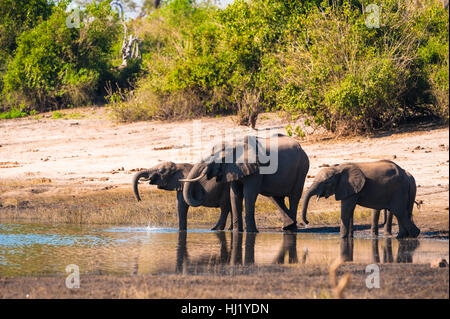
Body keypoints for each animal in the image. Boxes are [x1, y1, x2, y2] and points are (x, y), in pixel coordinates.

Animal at [179, 134, 310, 234]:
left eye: (213, 156)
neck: (233, 142)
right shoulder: (233, 168)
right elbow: (235, 194)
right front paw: (237, 232)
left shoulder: (256, 168)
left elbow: (249, 194)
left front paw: (251, 232)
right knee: (276, 197)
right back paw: (288, 227)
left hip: (302, 167)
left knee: (294, 197)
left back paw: (292, 229)